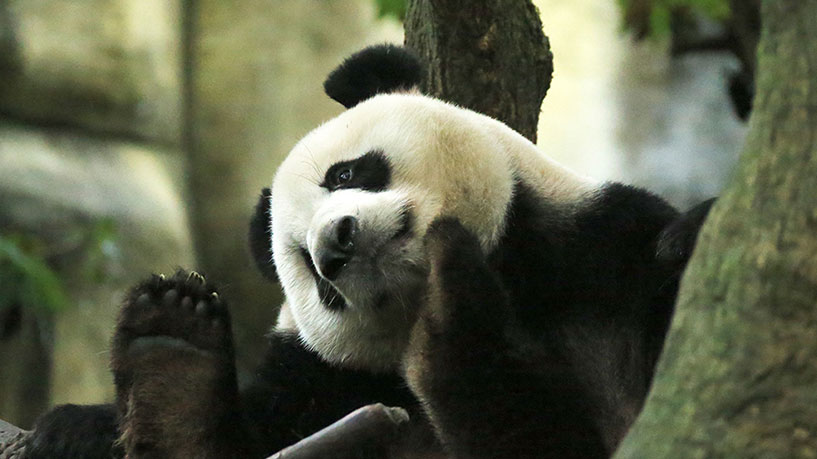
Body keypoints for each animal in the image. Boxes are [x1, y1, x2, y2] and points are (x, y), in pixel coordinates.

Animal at [21, 44, 714, 459]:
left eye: (345, 174)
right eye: (306, 266)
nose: (335, 246)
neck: (513, 272)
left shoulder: (605, 262)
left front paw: (451, 307)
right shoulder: (328, 387)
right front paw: (168, 366)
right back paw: (171, 351)